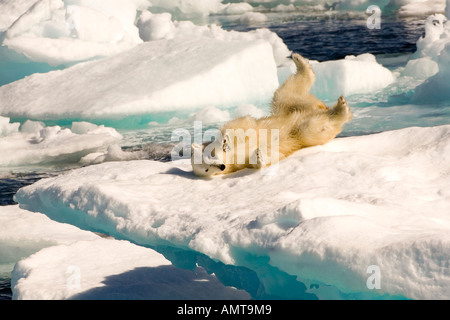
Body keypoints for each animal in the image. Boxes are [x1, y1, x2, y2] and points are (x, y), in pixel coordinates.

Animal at [190, 53, 352, 178]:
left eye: (211, 155)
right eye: (206, 169)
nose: (222, 167)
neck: (229, 159)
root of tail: (319, 106)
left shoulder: (247, 127)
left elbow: (241, 124)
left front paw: (226, 142)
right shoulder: (237, 164)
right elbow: (270, 156)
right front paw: (258, 156)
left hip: (288, 108)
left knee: (282, 95)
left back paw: (299, 60)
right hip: (301, 128)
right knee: (309, 128)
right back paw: (342, 109)